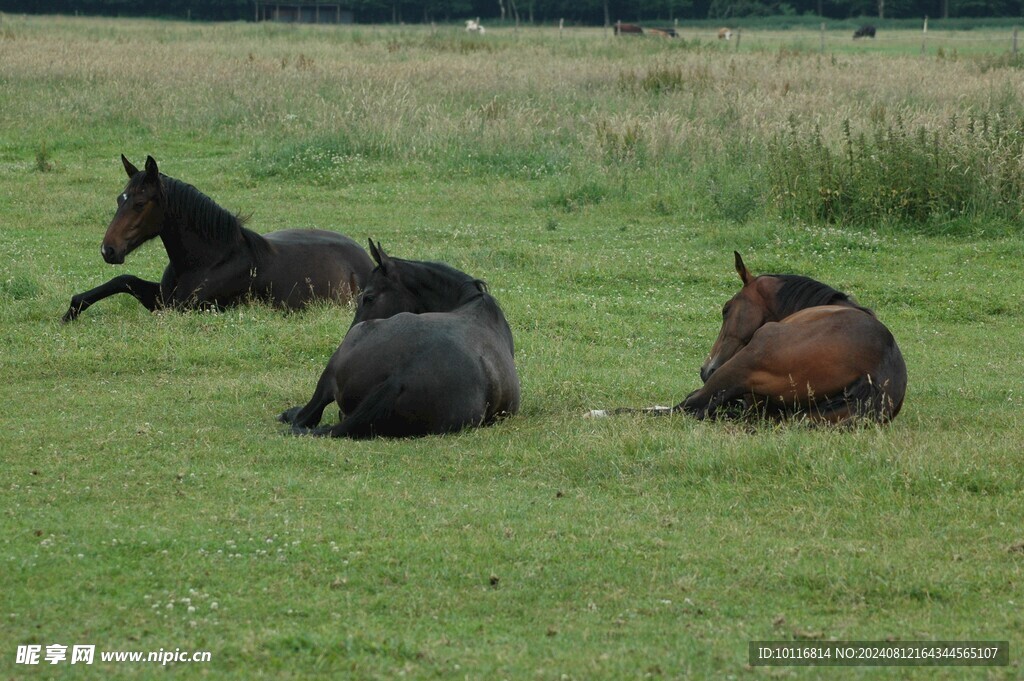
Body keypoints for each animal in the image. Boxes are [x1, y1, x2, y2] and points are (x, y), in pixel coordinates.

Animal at [60, 155, 372, 319]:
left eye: (139, 203)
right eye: (119, 199)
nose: (108, 250)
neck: (210, 260)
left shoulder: (182, 309)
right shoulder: (162, 297)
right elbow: (124, 280)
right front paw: (70, 313)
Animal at [589, 251, 909, 421]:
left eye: (725, 309)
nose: (706, 369)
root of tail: (871, 378)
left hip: (741, 365)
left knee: (688, 407)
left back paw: (598, 412)